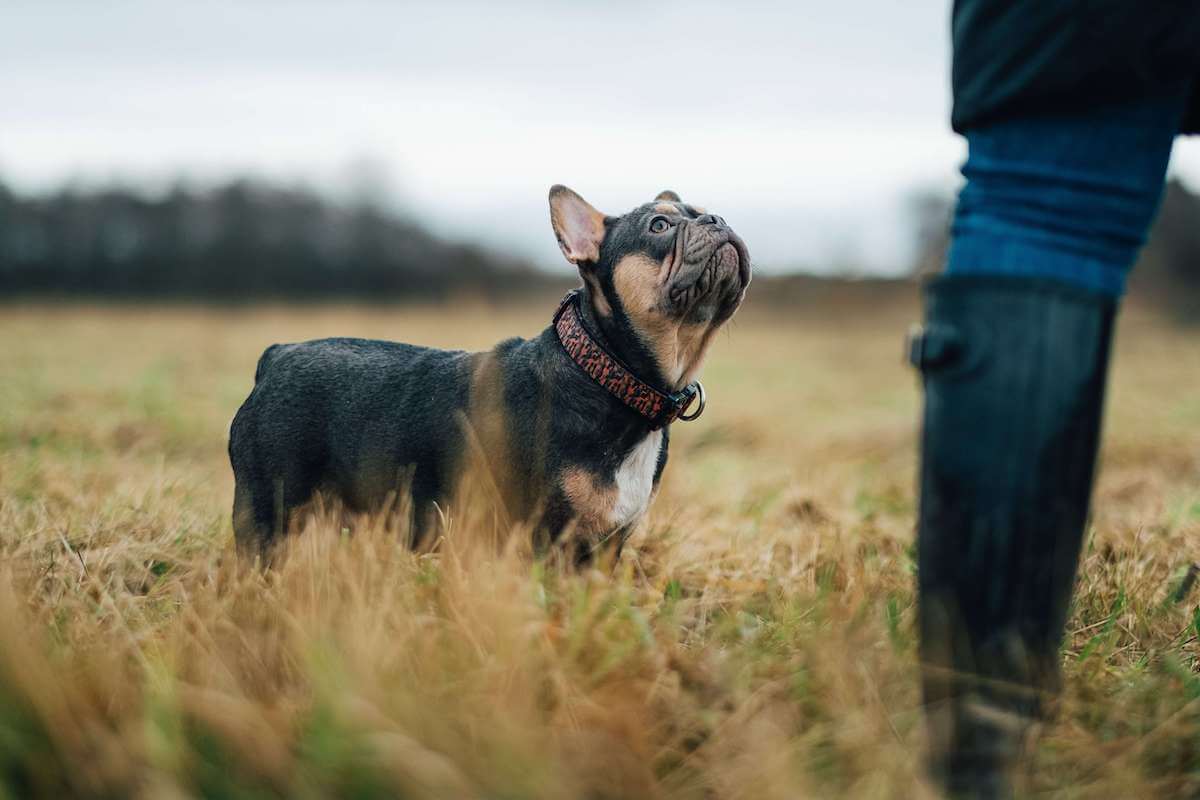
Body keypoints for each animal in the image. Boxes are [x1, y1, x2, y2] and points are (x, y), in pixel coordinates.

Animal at [225, 187, 748, 563]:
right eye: (659, 226)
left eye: (704, 212)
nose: (718, 220)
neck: (606, 373)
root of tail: (276, 357)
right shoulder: (547, 539)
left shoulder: (605, 549)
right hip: (267, 512)